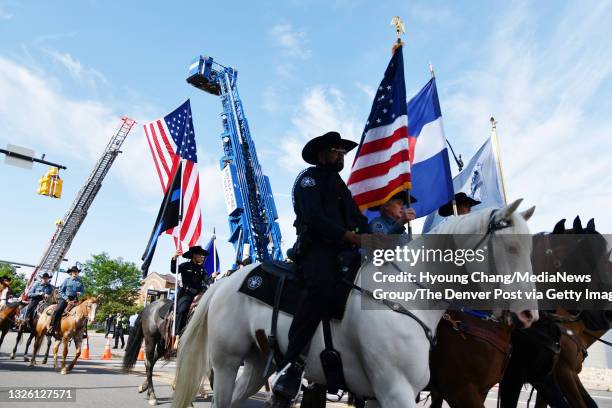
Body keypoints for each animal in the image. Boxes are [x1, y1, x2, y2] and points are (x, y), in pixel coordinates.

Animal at [173, 201, 540, 408]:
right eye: (511, 247)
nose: (529, 314)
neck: (409, 294)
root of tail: (225, 282)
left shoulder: (382, 395)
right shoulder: (399, 390)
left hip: (256, 363)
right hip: (226, 362)